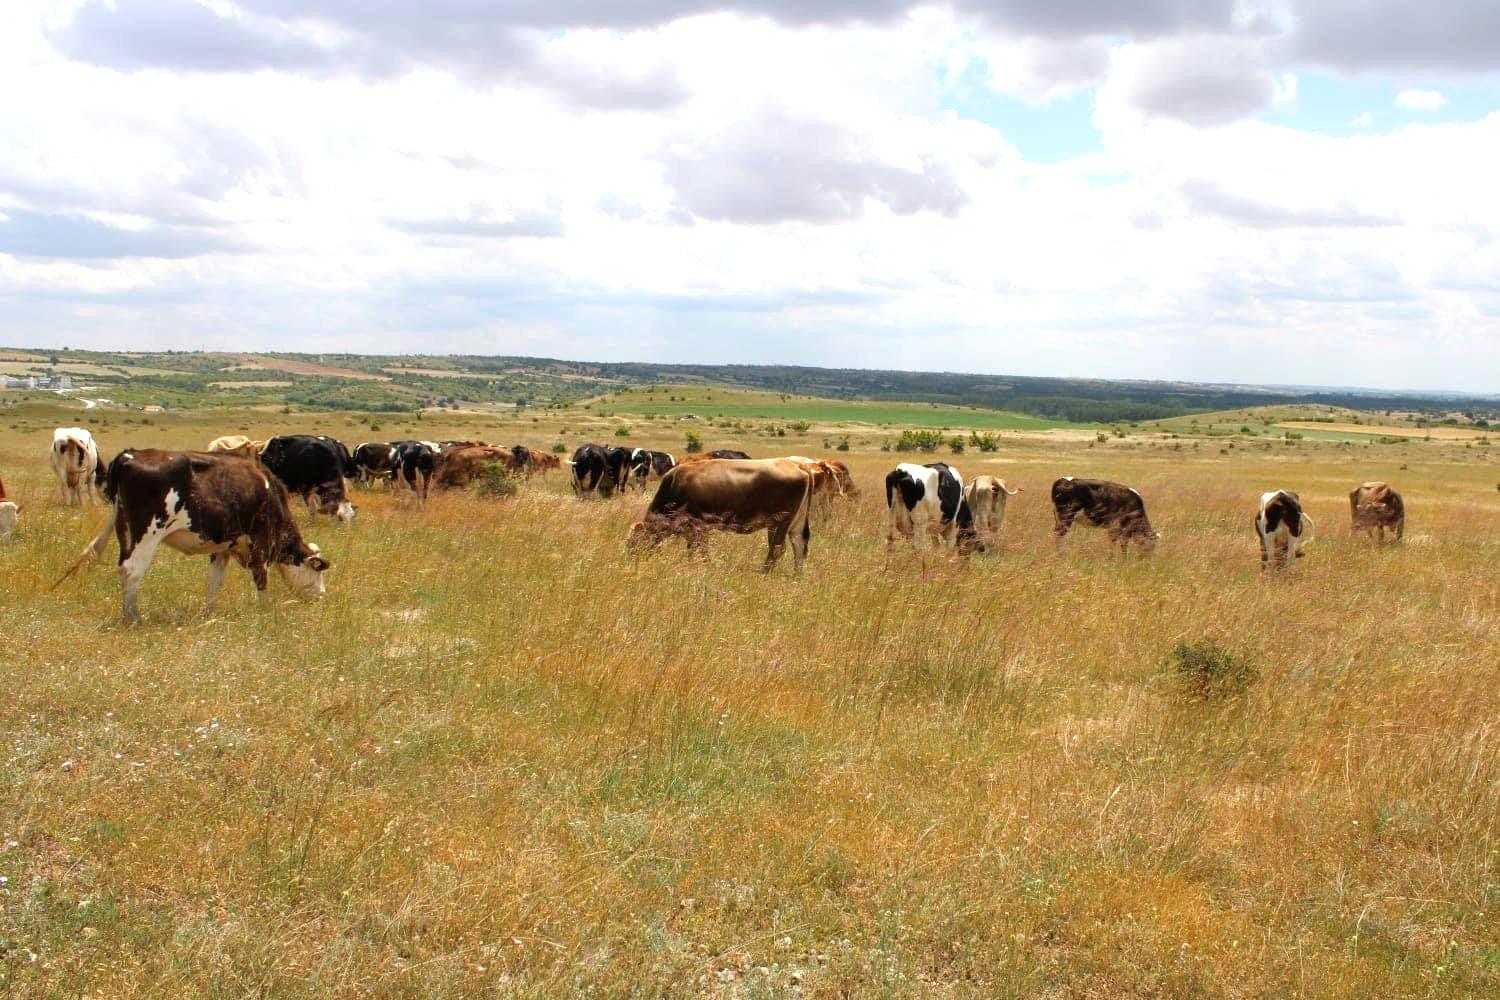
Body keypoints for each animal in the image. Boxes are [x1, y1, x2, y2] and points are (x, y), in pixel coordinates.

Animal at [69, 449, 328, 620]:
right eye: (317, 571)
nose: (321, 596)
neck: (269, 491)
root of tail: (128, 456)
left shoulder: (223, 547)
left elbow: (215, 580)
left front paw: (210, 612)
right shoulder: (260, 542)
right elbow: (261, 578)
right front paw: (264, 610)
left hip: (124, 530)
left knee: (124, 566)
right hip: (148, 533)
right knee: (132, 570)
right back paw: (133, 617)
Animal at [633, 458, 822, 575]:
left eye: (633, 543)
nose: (632, 559)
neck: (675, 485)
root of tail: (798, 465)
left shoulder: (696, 526)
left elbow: (698, 548)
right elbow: (697, 549)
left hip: (780, 523)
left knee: (777, 549)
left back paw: (764, 573)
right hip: (791, 524)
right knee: (799, 546)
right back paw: (796, 576)